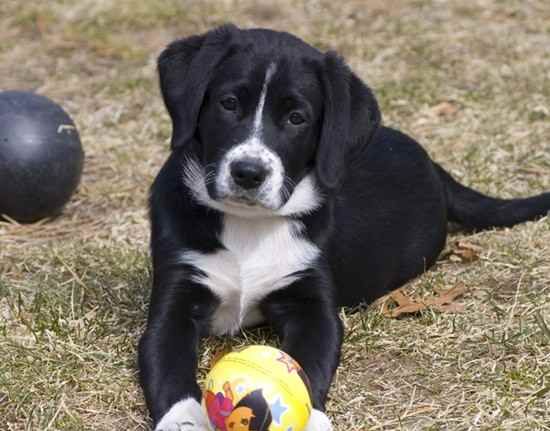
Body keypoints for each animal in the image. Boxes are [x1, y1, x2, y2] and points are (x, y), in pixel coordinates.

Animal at [139, 25, 550, 430]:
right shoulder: (174, 303)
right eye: (228, 103)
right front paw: (184, 421)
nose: (249, 173)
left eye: (297, 118)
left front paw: (313, 418)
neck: (249, 227)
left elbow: (309, 364)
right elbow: (169, 368)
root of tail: (433, 163)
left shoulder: (312, 306)